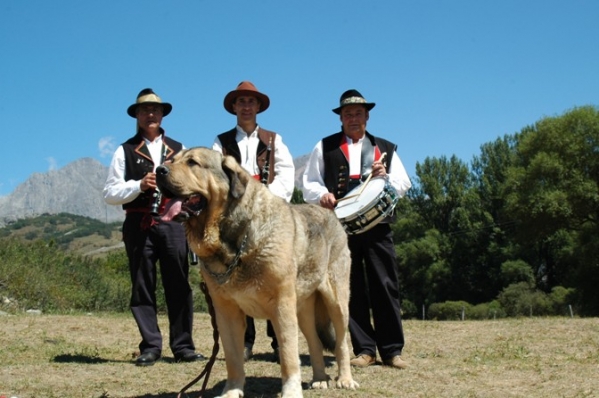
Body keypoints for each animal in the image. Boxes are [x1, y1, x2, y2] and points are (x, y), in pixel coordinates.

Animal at [157, 147, 358, 398]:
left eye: (193, 162)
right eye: (171, 160)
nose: (159, 170)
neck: (234, 241)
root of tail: (333, 216)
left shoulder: (282, 306)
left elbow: (288, 356)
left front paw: (291, 392)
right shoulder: (226, 312)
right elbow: (233, 358)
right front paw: (232, 391)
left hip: (336, 301)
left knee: (341, 342)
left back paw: (345, 379)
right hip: (304, 308)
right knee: (315, 342)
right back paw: (320, 379)